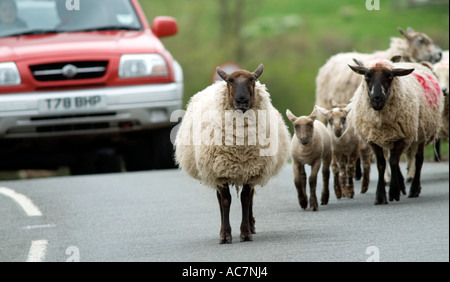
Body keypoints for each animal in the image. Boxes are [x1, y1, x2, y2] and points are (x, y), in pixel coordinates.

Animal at [174, 64, 290, 245]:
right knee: (220, 199)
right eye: (229, 81)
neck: (240, 148)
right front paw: (225, 235)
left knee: (250, 197)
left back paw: (251, 225)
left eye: (252, 80)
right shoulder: (220, 171)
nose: (241, 100)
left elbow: (245, 199)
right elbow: (226, 201)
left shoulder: (251, 169)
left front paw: (246, 233)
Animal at [348, 60, 442, 205]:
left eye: (390, 77)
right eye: (367, 77)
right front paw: (381, 196)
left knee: (418, 160)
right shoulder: (374, 140)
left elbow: (393, 162)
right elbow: (382, 164)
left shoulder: (402, 138)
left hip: (422, 133)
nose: (377, 99)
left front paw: (393, 192)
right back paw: (402, 185)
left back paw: (414, 189)